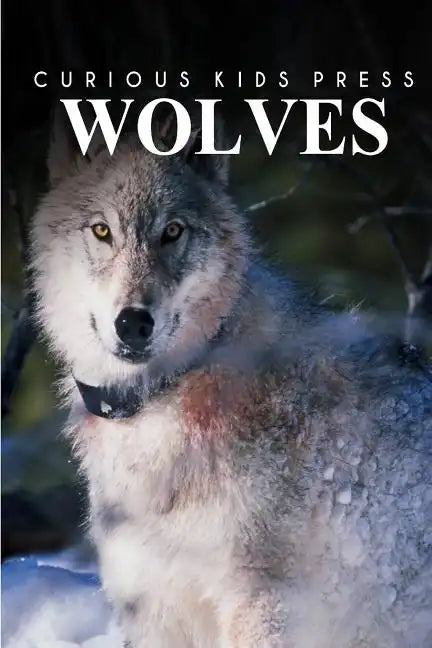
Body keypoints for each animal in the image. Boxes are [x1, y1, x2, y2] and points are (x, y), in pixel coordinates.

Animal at [30, 112, 432, 648]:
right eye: (101, 230)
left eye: (172, 231)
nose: (133, 322)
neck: (165, 395)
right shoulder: (152, 606)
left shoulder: (261, 603)